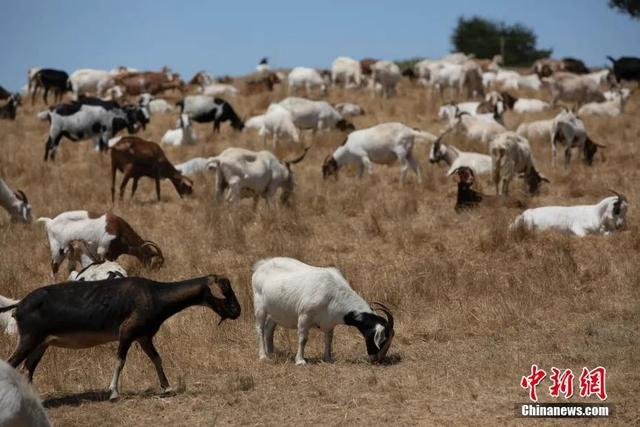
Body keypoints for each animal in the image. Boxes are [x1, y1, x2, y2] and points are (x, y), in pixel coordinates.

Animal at [251, 256, 396, 366]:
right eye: (383, 339)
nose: (377, 360)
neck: (333, 291)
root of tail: (261, 265)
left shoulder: (329, 323)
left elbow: (329, 339)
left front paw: (328, 359)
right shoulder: (304, 316)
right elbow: (303, 339)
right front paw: (300, 361)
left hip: (275, 312)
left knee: (269, 329)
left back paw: (271, 353)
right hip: (260, 307)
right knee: (260, 329)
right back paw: (263, 356)